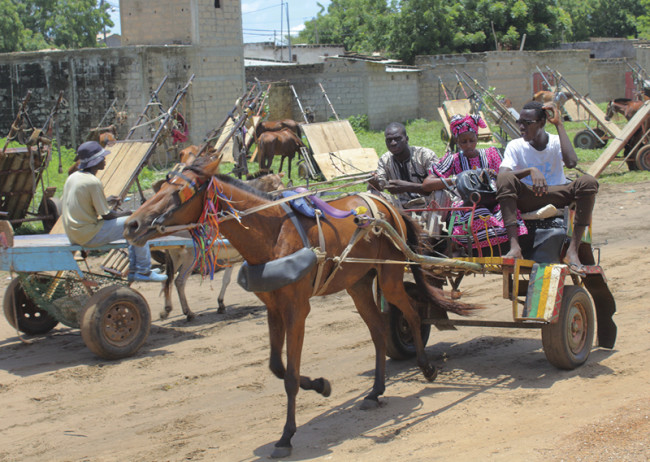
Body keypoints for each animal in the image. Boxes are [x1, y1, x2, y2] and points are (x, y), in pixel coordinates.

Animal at [123, 155, 476, 458]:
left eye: (177, 192)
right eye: (160, 187)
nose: (131, 225)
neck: (271, 233)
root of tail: (384, 204)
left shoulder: (296, 310)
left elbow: (290, 376)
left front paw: (286, 436)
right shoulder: (273, 309)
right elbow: (277, 368)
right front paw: (320, 385)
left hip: (389, 276)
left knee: (413, 314)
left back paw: (426, 367)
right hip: (358, 284)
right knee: (377, 330)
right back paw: (376, 391)